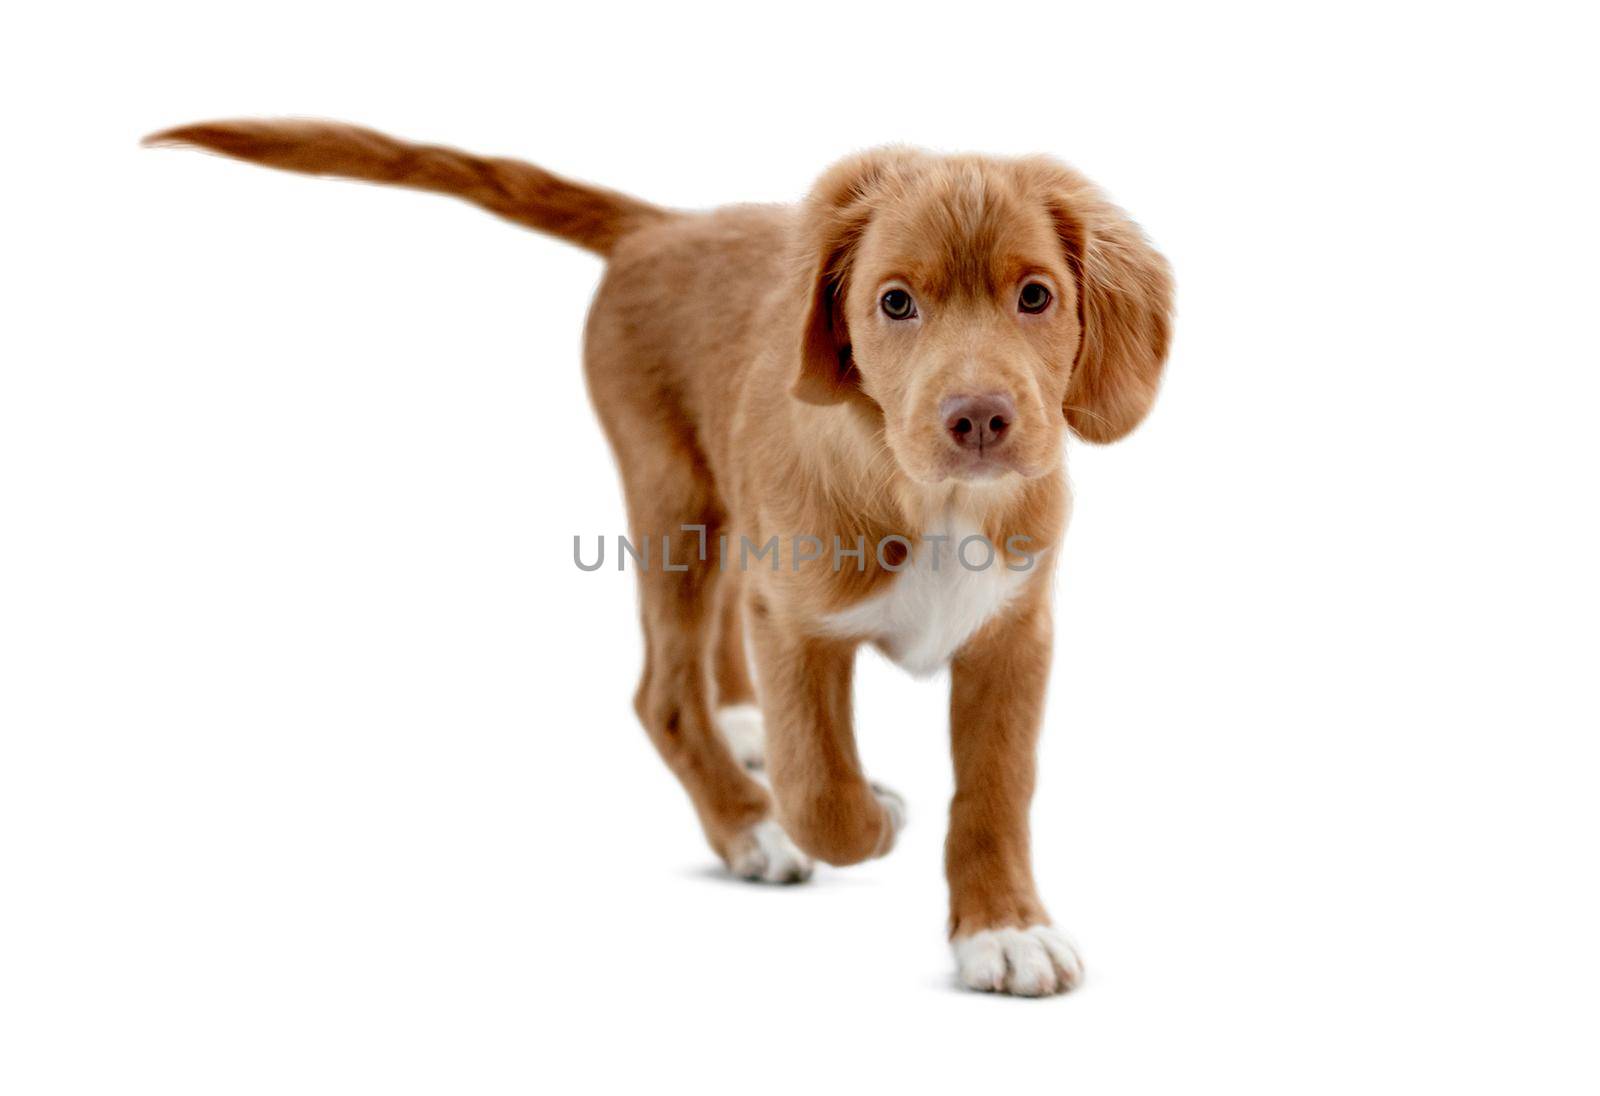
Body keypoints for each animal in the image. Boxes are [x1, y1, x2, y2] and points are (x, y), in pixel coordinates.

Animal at [147, 120, 1177, 992]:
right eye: (894, 302)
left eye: (1036, 296)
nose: (979, 420)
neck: (931, 497)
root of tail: (665, 226)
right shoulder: (798, 622)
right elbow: (823, 793)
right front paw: (857, 818)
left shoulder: (1014, 632)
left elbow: (998, 792)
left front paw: (1004, 927)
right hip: (670, 504)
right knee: (665, 695)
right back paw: (746, 822)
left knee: (714, 645)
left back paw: (743, 723)